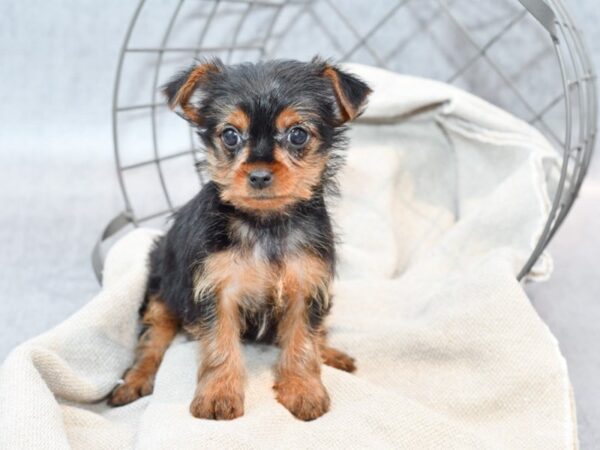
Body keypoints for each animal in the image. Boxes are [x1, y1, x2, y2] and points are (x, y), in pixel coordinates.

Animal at [108, 57, 370, 422]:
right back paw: (136, 380)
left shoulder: (306, 285)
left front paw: (303, 389)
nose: (258, 175)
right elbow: (220, 345)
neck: (264, 224)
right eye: (231, 135)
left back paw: (330, 352)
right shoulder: (218, 289)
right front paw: (218, 396)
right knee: (154, 338)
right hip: (164, 286)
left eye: (298, 134)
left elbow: (302, 341)